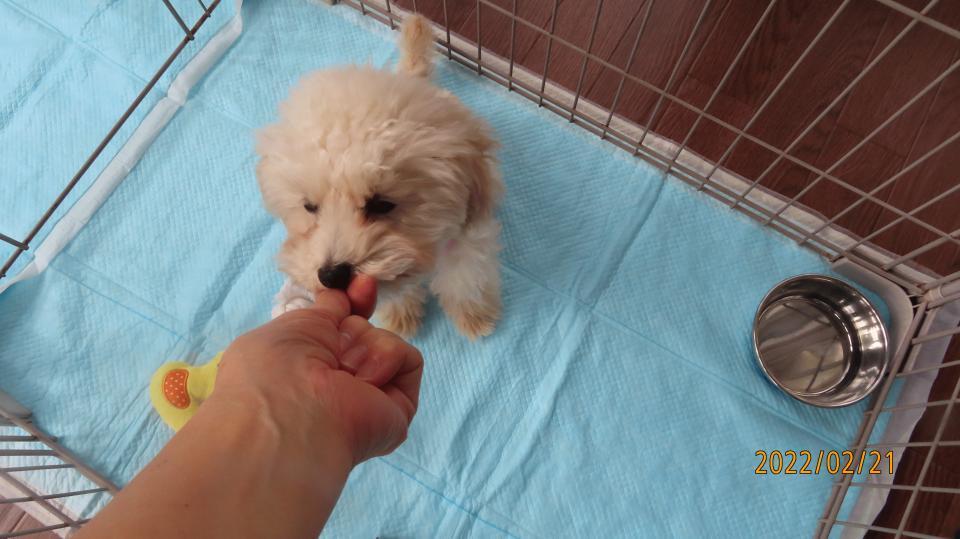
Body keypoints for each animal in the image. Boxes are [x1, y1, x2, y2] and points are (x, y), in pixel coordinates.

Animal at [255, 15, 503, 340]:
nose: (331, 275)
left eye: (382, 204)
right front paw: (400, 314)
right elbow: (395, 289)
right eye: (309, 207)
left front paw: (473, 315)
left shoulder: (467, 236)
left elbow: (464, 277)